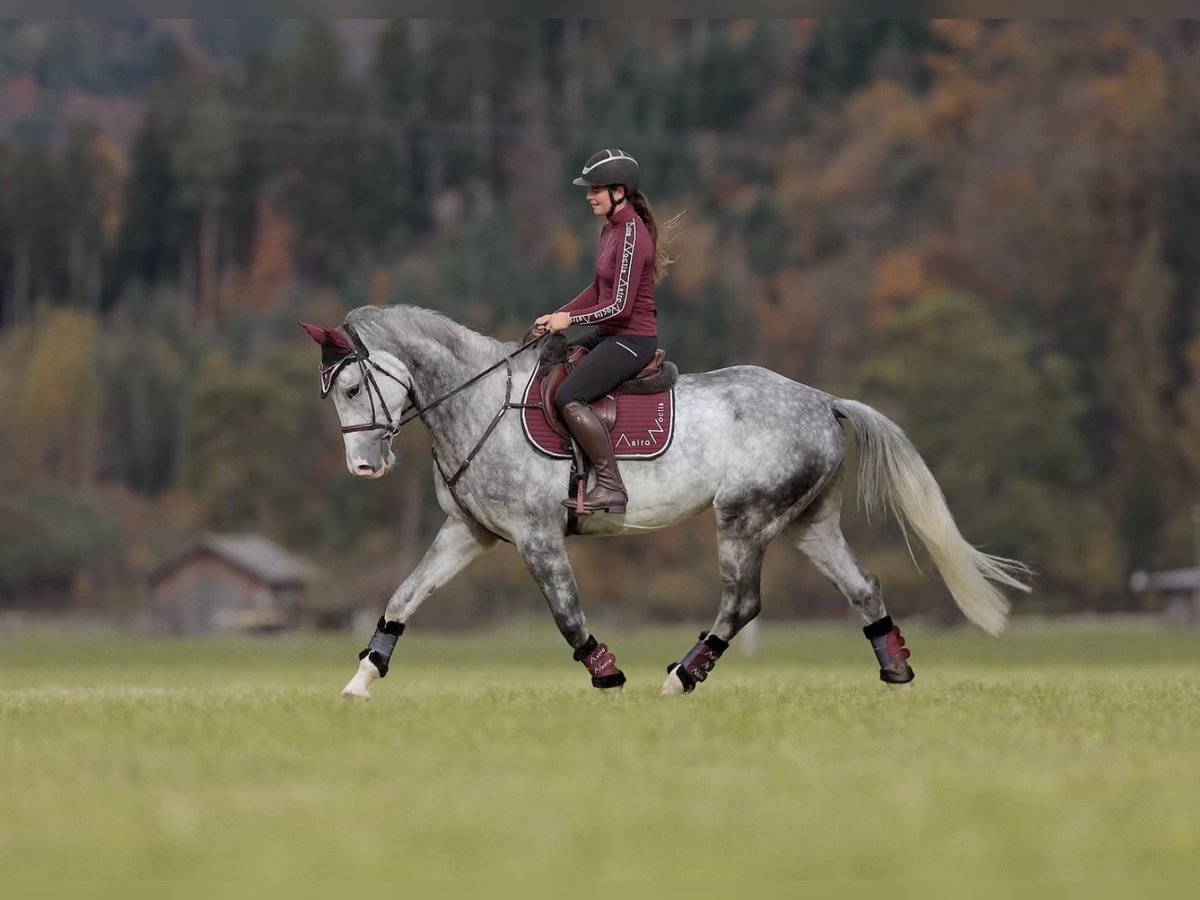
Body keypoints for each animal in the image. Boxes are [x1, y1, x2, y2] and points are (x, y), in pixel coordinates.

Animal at [300, 304, 1030, 699]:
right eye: (333, 394)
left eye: (352, 389)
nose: (365, 466)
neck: (478, 401)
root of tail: (824, 400)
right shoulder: (468, 534)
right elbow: (403, 596)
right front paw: (362, 678)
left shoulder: (537, 537)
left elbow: (567, 614)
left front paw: (607, 676)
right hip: (806, 524)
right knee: (864, 587)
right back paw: (896, 671)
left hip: (743, 519)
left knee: (742, 603)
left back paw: (680, 677)